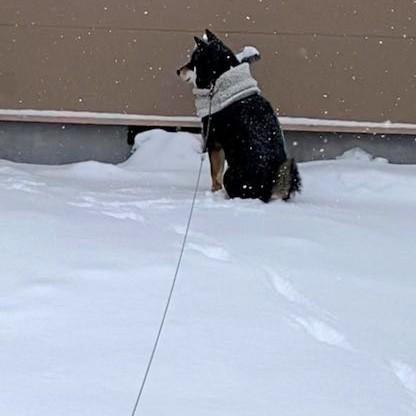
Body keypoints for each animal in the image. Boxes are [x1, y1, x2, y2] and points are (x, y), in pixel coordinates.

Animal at [177, 29, 300, 202]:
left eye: (193, 61)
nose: (177, 71)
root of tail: (269, 186)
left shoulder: (213, 142)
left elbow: (215, 174)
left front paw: (214, 192)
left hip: (230, 174)